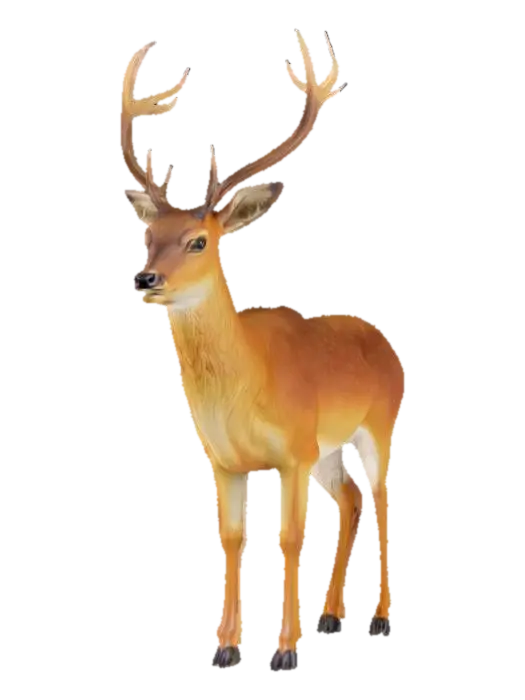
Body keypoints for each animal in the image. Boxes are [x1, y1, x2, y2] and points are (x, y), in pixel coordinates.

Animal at [120, 33, 406, 672]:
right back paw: (331, 616)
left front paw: (286, 650)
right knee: (350, 500)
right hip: (330, 448)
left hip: (379, 426)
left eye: (198, 240)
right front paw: (226, 647)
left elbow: (290, 537)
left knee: (381, 499)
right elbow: (233, 537)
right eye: (147, 235)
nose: (145, 278)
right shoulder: (222, 459)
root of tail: (385, 338)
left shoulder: (292, 451)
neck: (245, 388)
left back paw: (378, 618)